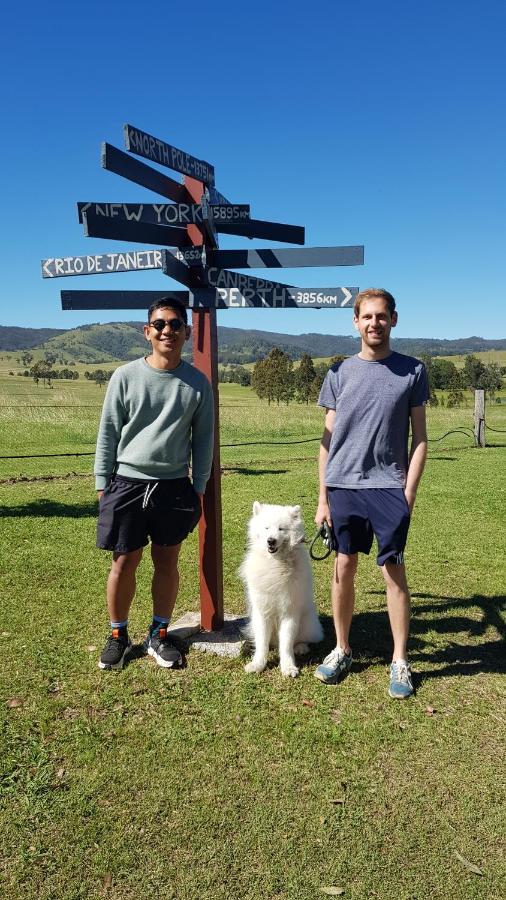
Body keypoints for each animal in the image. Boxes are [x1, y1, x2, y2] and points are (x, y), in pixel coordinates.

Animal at [239, 500, 322, 676]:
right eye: (266, 528)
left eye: (281, 529)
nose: (271, 541)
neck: (275, 564)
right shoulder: (262, 612)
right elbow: (262, 643)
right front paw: (258, 665)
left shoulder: (289, 612)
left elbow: (286, 645)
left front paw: (288, 667)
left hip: (307, 622)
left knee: (302, 640)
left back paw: (301, 648)